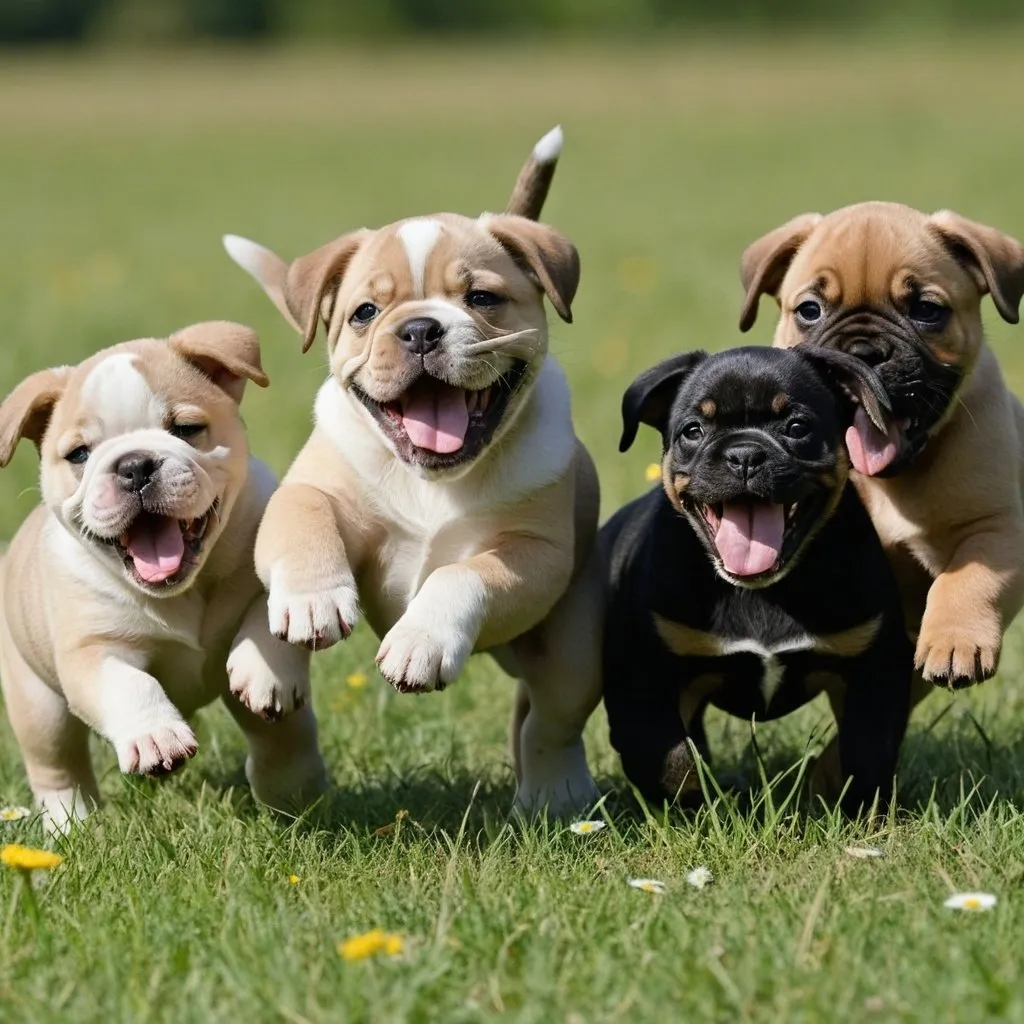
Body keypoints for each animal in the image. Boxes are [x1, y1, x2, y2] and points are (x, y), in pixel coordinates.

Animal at [0, 321, 327, 831]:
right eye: (79, 454)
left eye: (186, 429)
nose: (134, 465)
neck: (183, 591)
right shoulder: (92, 651)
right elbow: (129, 685)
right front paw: (156, 737)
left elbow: (270, 612)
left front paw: (264, 668)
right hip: (38, 706)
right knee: (58, 767)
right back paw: (72, 825)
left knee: (282, 734)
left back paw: (295, 791)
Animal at [224, 130, 602, 815]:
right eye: (364, 312)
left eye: (481, 298)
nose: (421, 328)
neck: (434, 480)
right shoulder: (312, 490)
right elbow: (302, 523)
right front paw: (315, 601)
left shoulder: (534, 555)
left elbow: (462, 573)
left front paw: (420, 642)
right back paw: (267, 671)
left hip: (572, 648)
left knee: (549, 720)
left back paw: (555, 794)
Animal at [598, 346, 913, 815]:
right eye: (693, 431)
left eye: (797, 427)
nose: (744, 454)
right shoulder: (642, 676)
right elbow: (669, 755)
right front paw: (695, 803)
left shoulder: (875, 665)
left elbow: (867, 749)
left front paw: (855, 808)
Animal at [737, 201, 1024, 688]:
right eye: (809, 310)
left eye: (926, 310)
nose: (862, 354)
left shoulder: (996, 526)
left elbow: (968, 577)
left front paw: (954, 642)